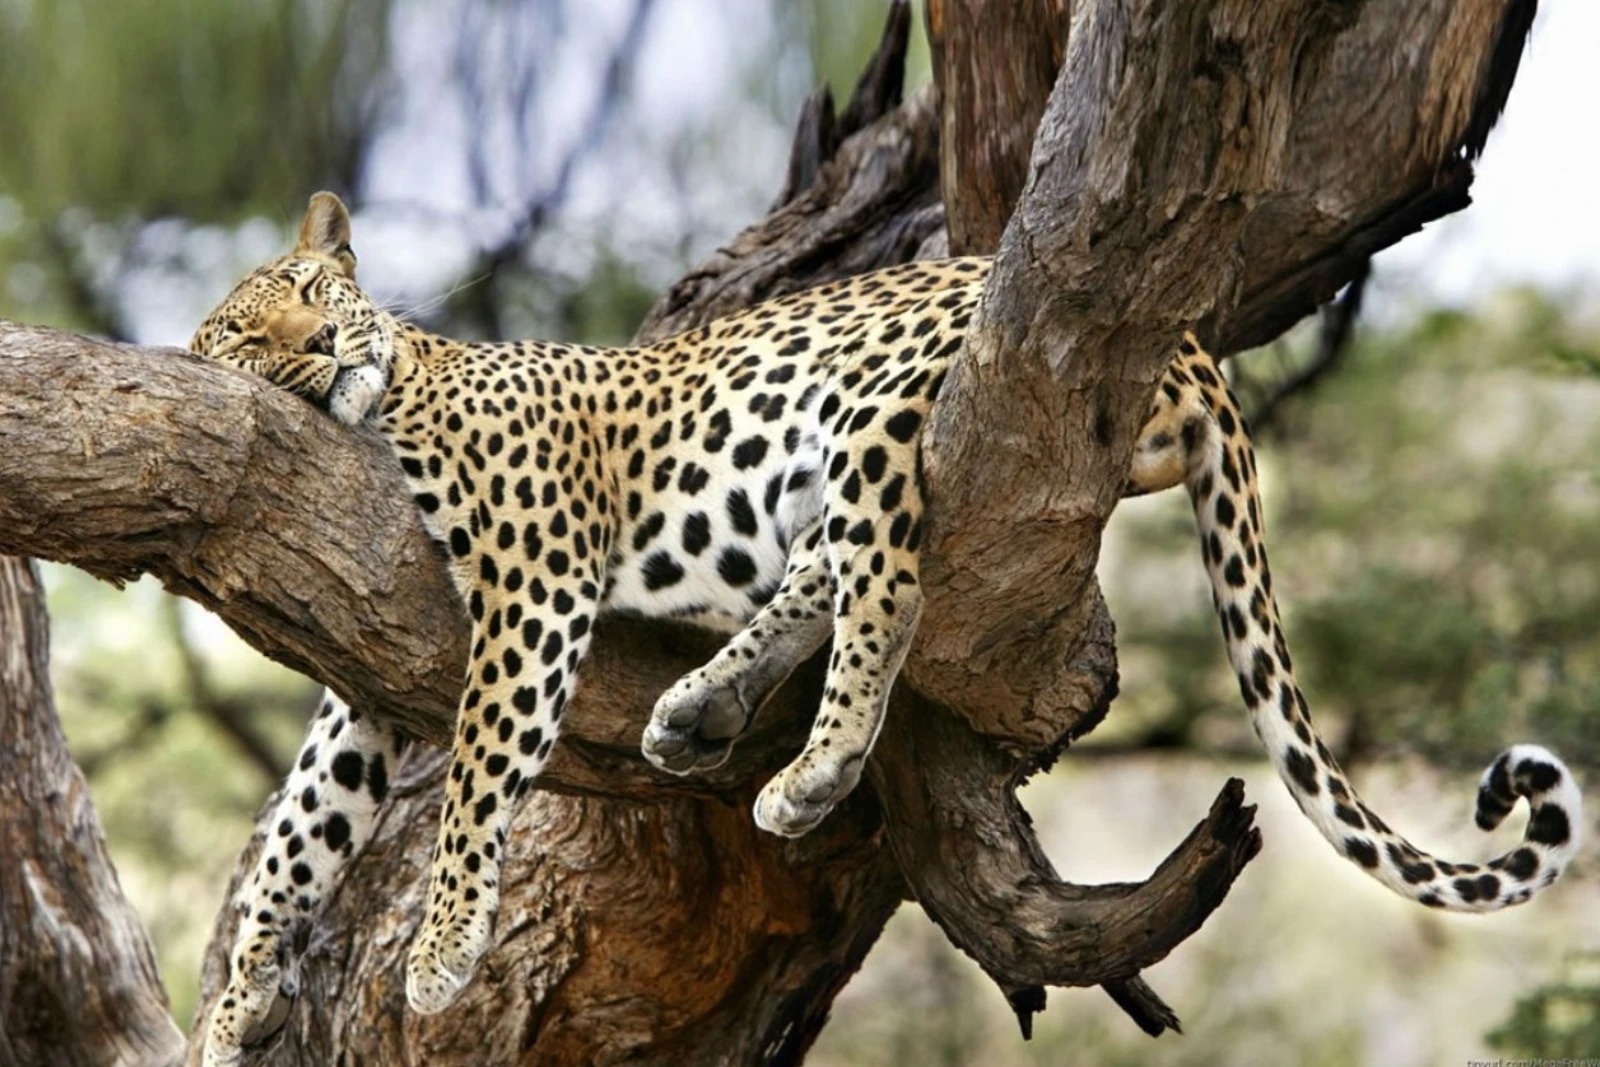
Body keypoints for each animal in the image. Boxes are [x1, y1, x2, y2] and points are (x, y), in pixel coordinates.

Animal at [190, 192, 1582, 1065]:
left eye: (313, 290)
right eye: (251, 336)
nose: (323, 339)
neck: (393, 395)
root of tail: (1190, 341)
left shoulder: (533, 583)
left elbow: (478, 775)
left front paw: (436, 953)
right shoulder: (367, 669)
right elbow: (300, 826)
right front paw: (235, 998)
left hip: (867, 406)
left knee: (888, 586)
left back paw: (808, 772)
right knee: (825, 571)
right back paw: (703, 709)